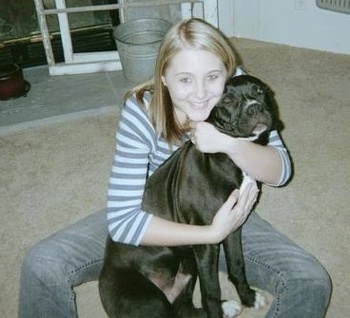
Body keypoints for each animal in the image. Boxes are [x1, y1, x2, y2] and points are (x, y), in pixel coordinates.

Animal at [100, 75, 280, 318]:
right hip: (152, 301)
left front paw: (248, 298)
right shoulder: (207, 242)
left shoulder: (232, 227)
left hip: (188, 266)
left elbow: (237, 264)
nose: (255, 108)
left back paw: (226, 306)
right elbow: (211, 290)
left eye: (260, 91)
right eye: (228, 101)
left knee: (184, 309)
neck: (230, 154)